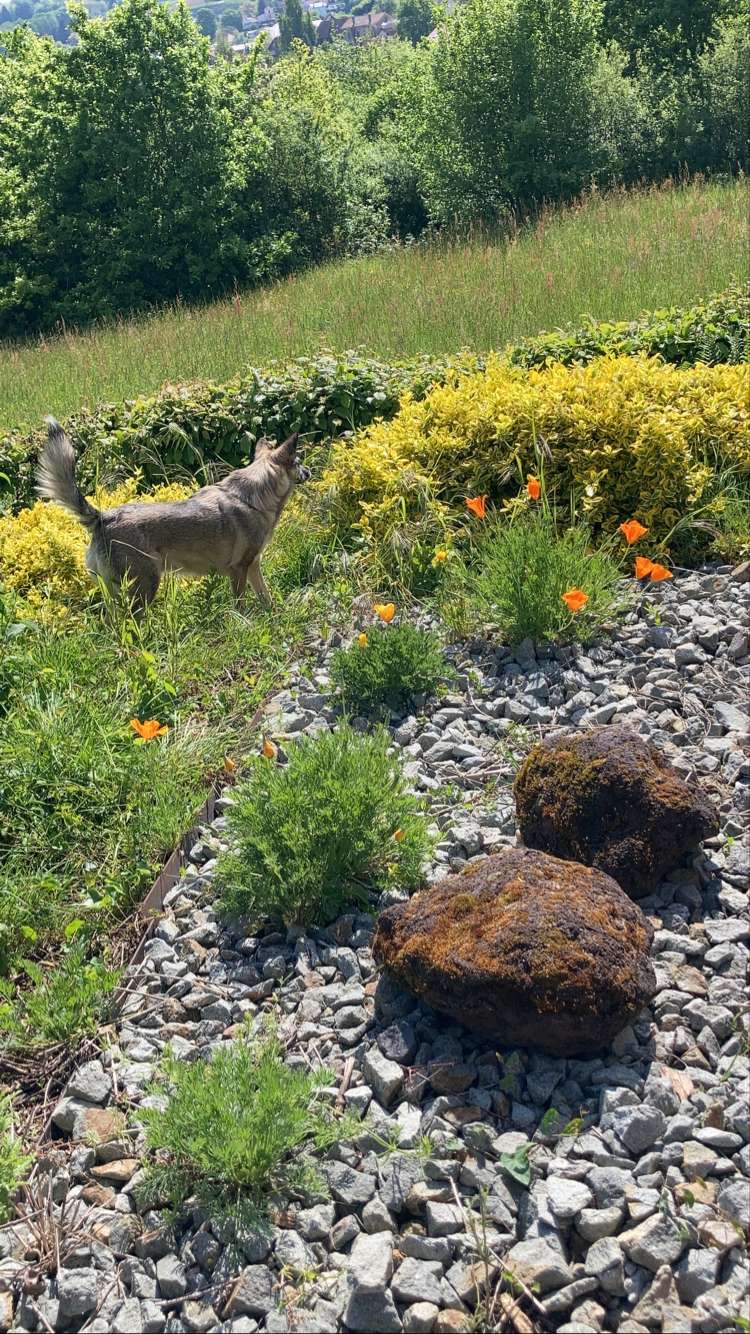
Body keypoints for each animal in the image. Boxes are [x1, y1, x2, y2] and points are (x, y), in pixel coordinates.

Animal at [34, 416, 309, 610]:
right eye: (298, 462)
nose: (309, 471)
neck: (253, 497)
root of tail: (103, 518)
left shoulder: (253, 567)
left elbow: (266, 596)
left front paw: (275, 614)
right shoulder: (239, 570)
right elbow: (241, 606)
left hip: (117, 593)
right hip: (144, 588)